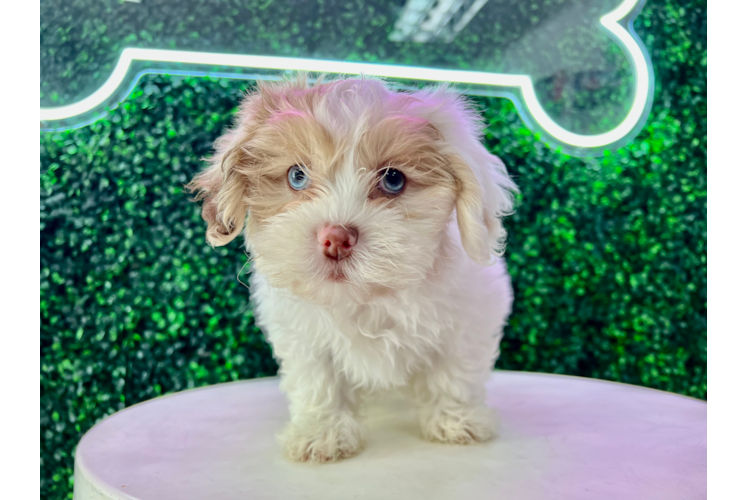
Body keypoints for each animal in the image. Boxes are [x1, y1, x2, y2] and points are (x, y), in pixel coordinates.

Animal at [188, 73, 516, 460]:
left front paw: (455, 421)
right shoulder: (301, 336)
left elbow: (454, 373)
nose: (335, 238)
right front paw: (322, 433)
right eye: (297, 176)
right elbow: (318, 381)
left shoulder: (469, 318)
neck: (365, 297)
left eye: (393, 180)